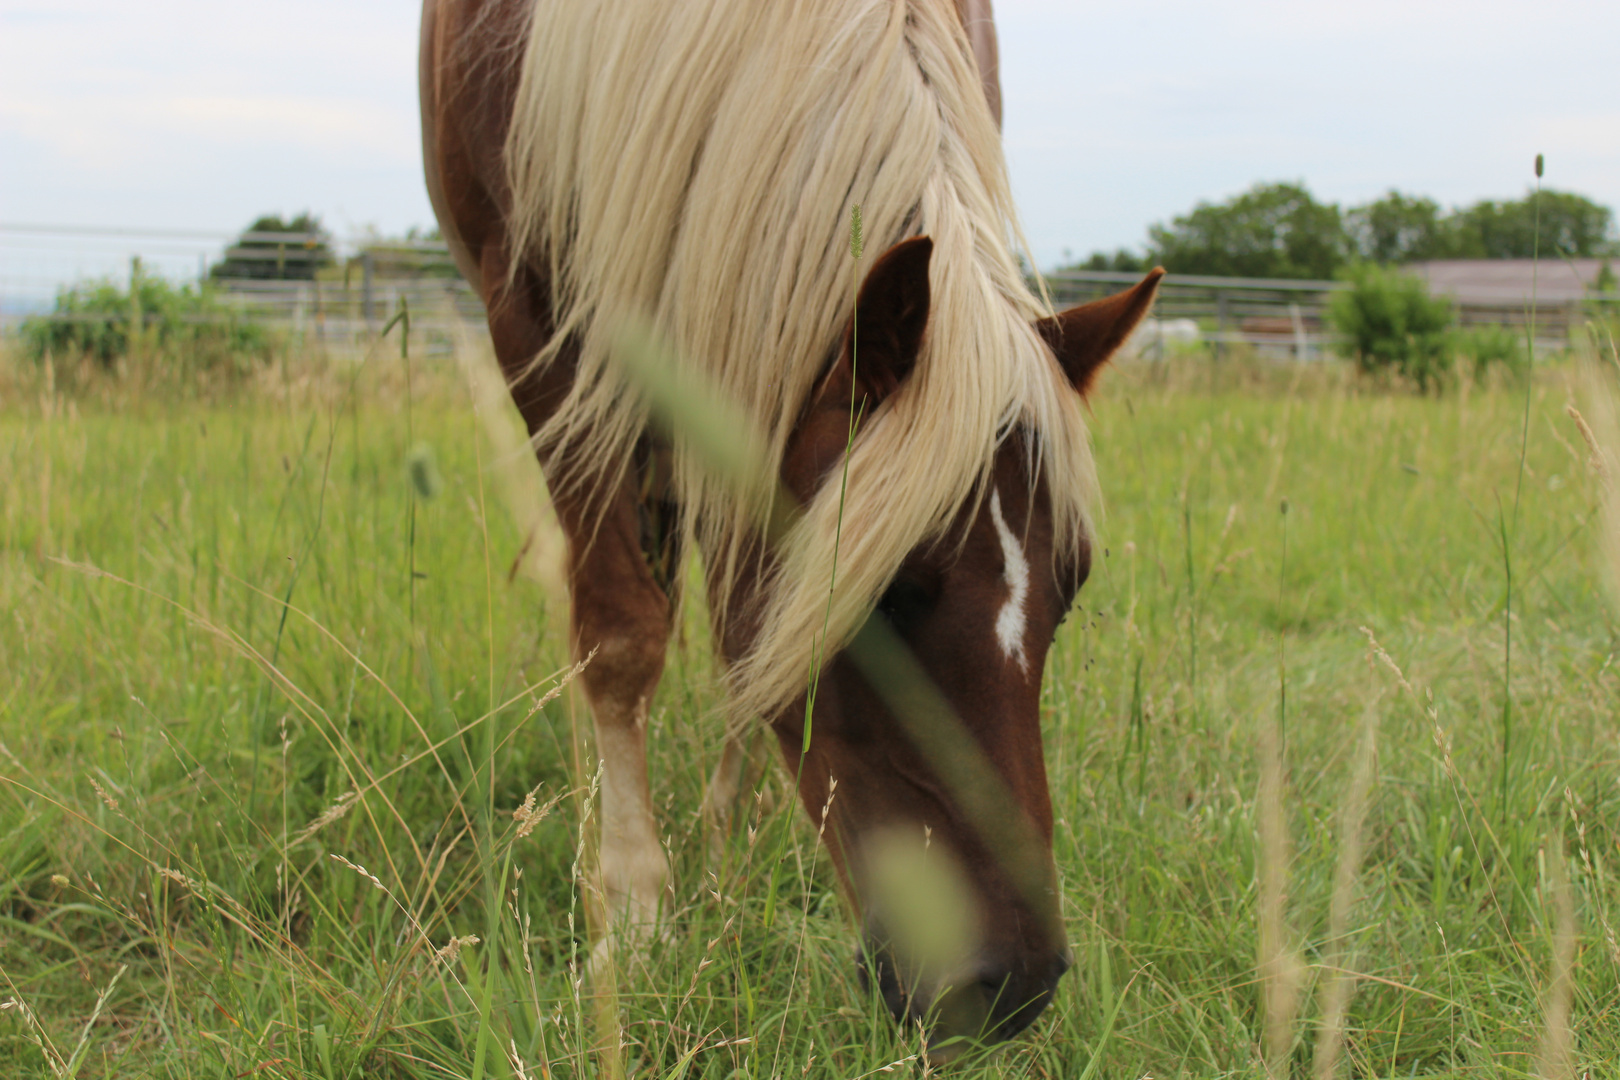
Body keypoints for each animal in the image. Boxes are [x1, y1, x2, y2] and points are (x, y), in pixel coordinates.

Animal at [411, 0, 1159, 1049]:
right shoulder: (545, 328)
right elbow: (621, 636)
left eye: (1072, 588)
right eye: (886, 593)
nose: (1011, 987)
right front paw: (635, 916)